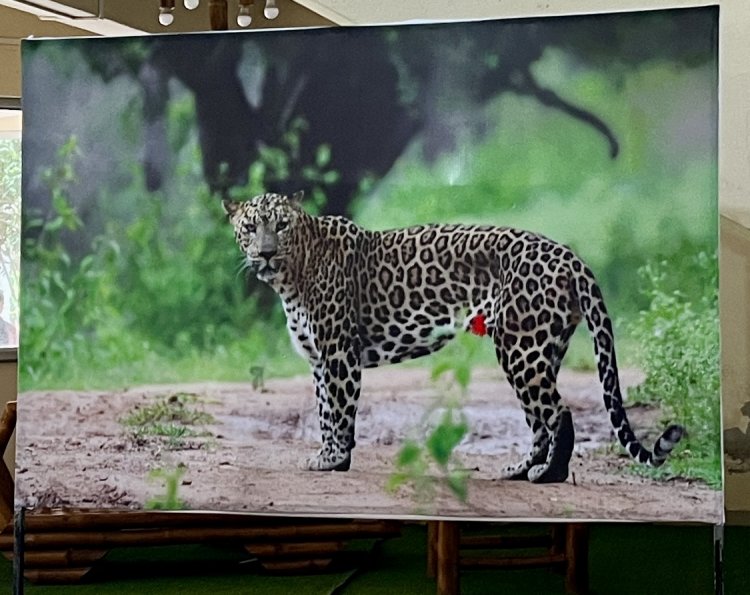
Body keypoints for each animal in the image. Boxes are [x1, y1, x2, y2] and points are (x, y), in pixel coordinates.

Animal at [225, 191, 688, 484]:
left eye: (281, 225)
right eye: (250, 228)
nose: (265, 253)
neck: (293, 273)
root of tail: (570, 256)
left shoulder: (339, 354)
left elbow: (338, 411)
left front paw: (334, 459)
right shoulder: (320, 358)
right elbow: (324, 411)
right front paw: (329, 457)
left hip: (520, 348)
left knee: (558, 412)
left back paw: (548, 476)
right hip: (542, 346)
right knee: (539, 418)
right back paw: (520, 470)